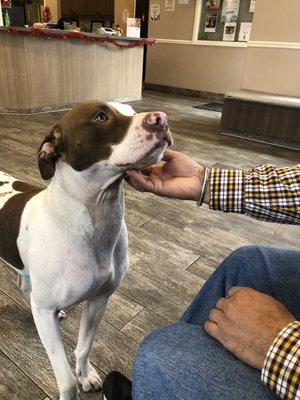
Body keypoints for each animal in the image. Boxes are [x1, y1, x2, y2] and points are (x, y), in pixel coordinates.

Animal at [0, 102, 172, 400]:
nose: (160, 119)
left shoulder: (99, 300)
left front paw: (85, 375)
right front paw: (74, 383)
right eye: (101, 116)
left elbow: (84, 347)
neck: (94, 218)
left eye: (131, 110)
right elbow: (66, 381)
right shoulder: (44, 311)